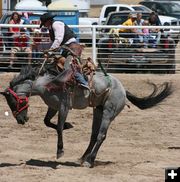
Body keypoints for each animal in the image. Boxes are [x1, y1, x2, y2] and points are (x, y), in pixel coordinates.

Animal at [0, 65, 172, 168]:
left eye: (15, 101)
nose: (21, 120)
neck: (49, 84)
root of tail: (123, 90)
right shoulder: (53, 107)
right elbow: (47, 122)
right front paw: (69, 126)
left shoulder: (64, 106)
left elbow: (59, 128)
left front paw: (60, 151)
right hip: (98, 110)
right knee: (94, 135)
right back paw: (83, 158)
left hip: (109, 112)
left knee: (101, 135)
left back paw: (90, 160)